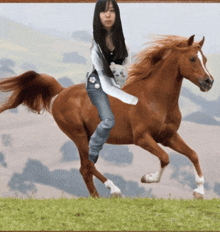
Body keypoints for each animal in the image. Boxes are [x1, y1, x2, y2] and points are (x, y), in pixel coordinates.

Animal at [0, 35, 213, 198]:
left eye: (205, 59)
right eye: (192, 59)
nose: (208, 82)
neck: (155, 99)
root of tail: (61, 92)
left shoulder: (168, 137)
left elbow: (193, 154)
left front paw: (199, 192)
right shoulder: (142, 138)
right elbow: (165, 157)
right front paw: (148, 178)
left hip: (87, 137)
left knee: (85, 169)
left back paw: (97, 197)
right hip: (78, 135)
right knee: (87, 165)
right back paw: (114, 190)